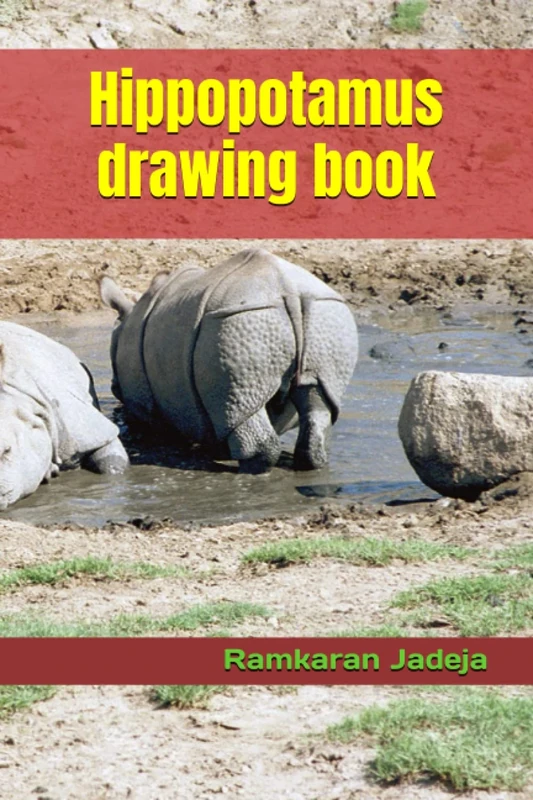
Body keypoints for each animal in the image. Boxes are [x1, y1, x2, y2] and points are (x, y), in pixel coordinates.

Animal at [100, 248, 358, 472]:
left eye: (115, 388)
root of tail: (289, 291)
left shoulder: (143, 396)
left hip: (237, 322)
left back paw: (248, 470)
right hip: (324, 315)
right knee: (316, 398)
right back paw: (308, 463)